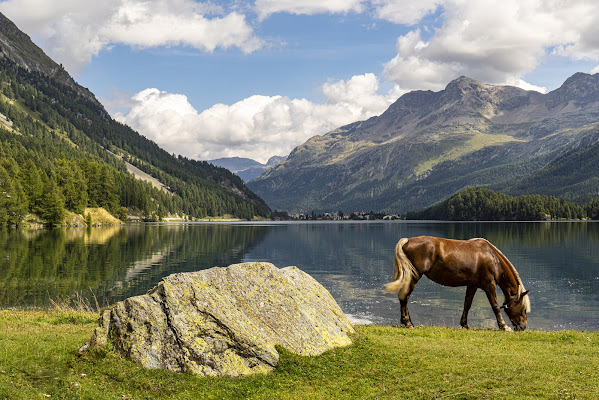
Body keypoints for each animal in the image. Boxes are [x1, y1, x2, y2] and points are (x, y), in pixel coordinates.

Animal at [384, 236, 528, 330]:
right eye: (523, 308)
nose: (523, 326)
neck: (493, 258)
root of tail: (407, 240)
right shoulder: (489, 285)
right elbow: (495, 306)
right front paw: (504, 326)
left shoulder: (472, 285)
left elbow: (467, 304)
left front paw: (465, 324)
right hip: (414, 276)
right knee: (404, 297)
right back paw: (408, 323)